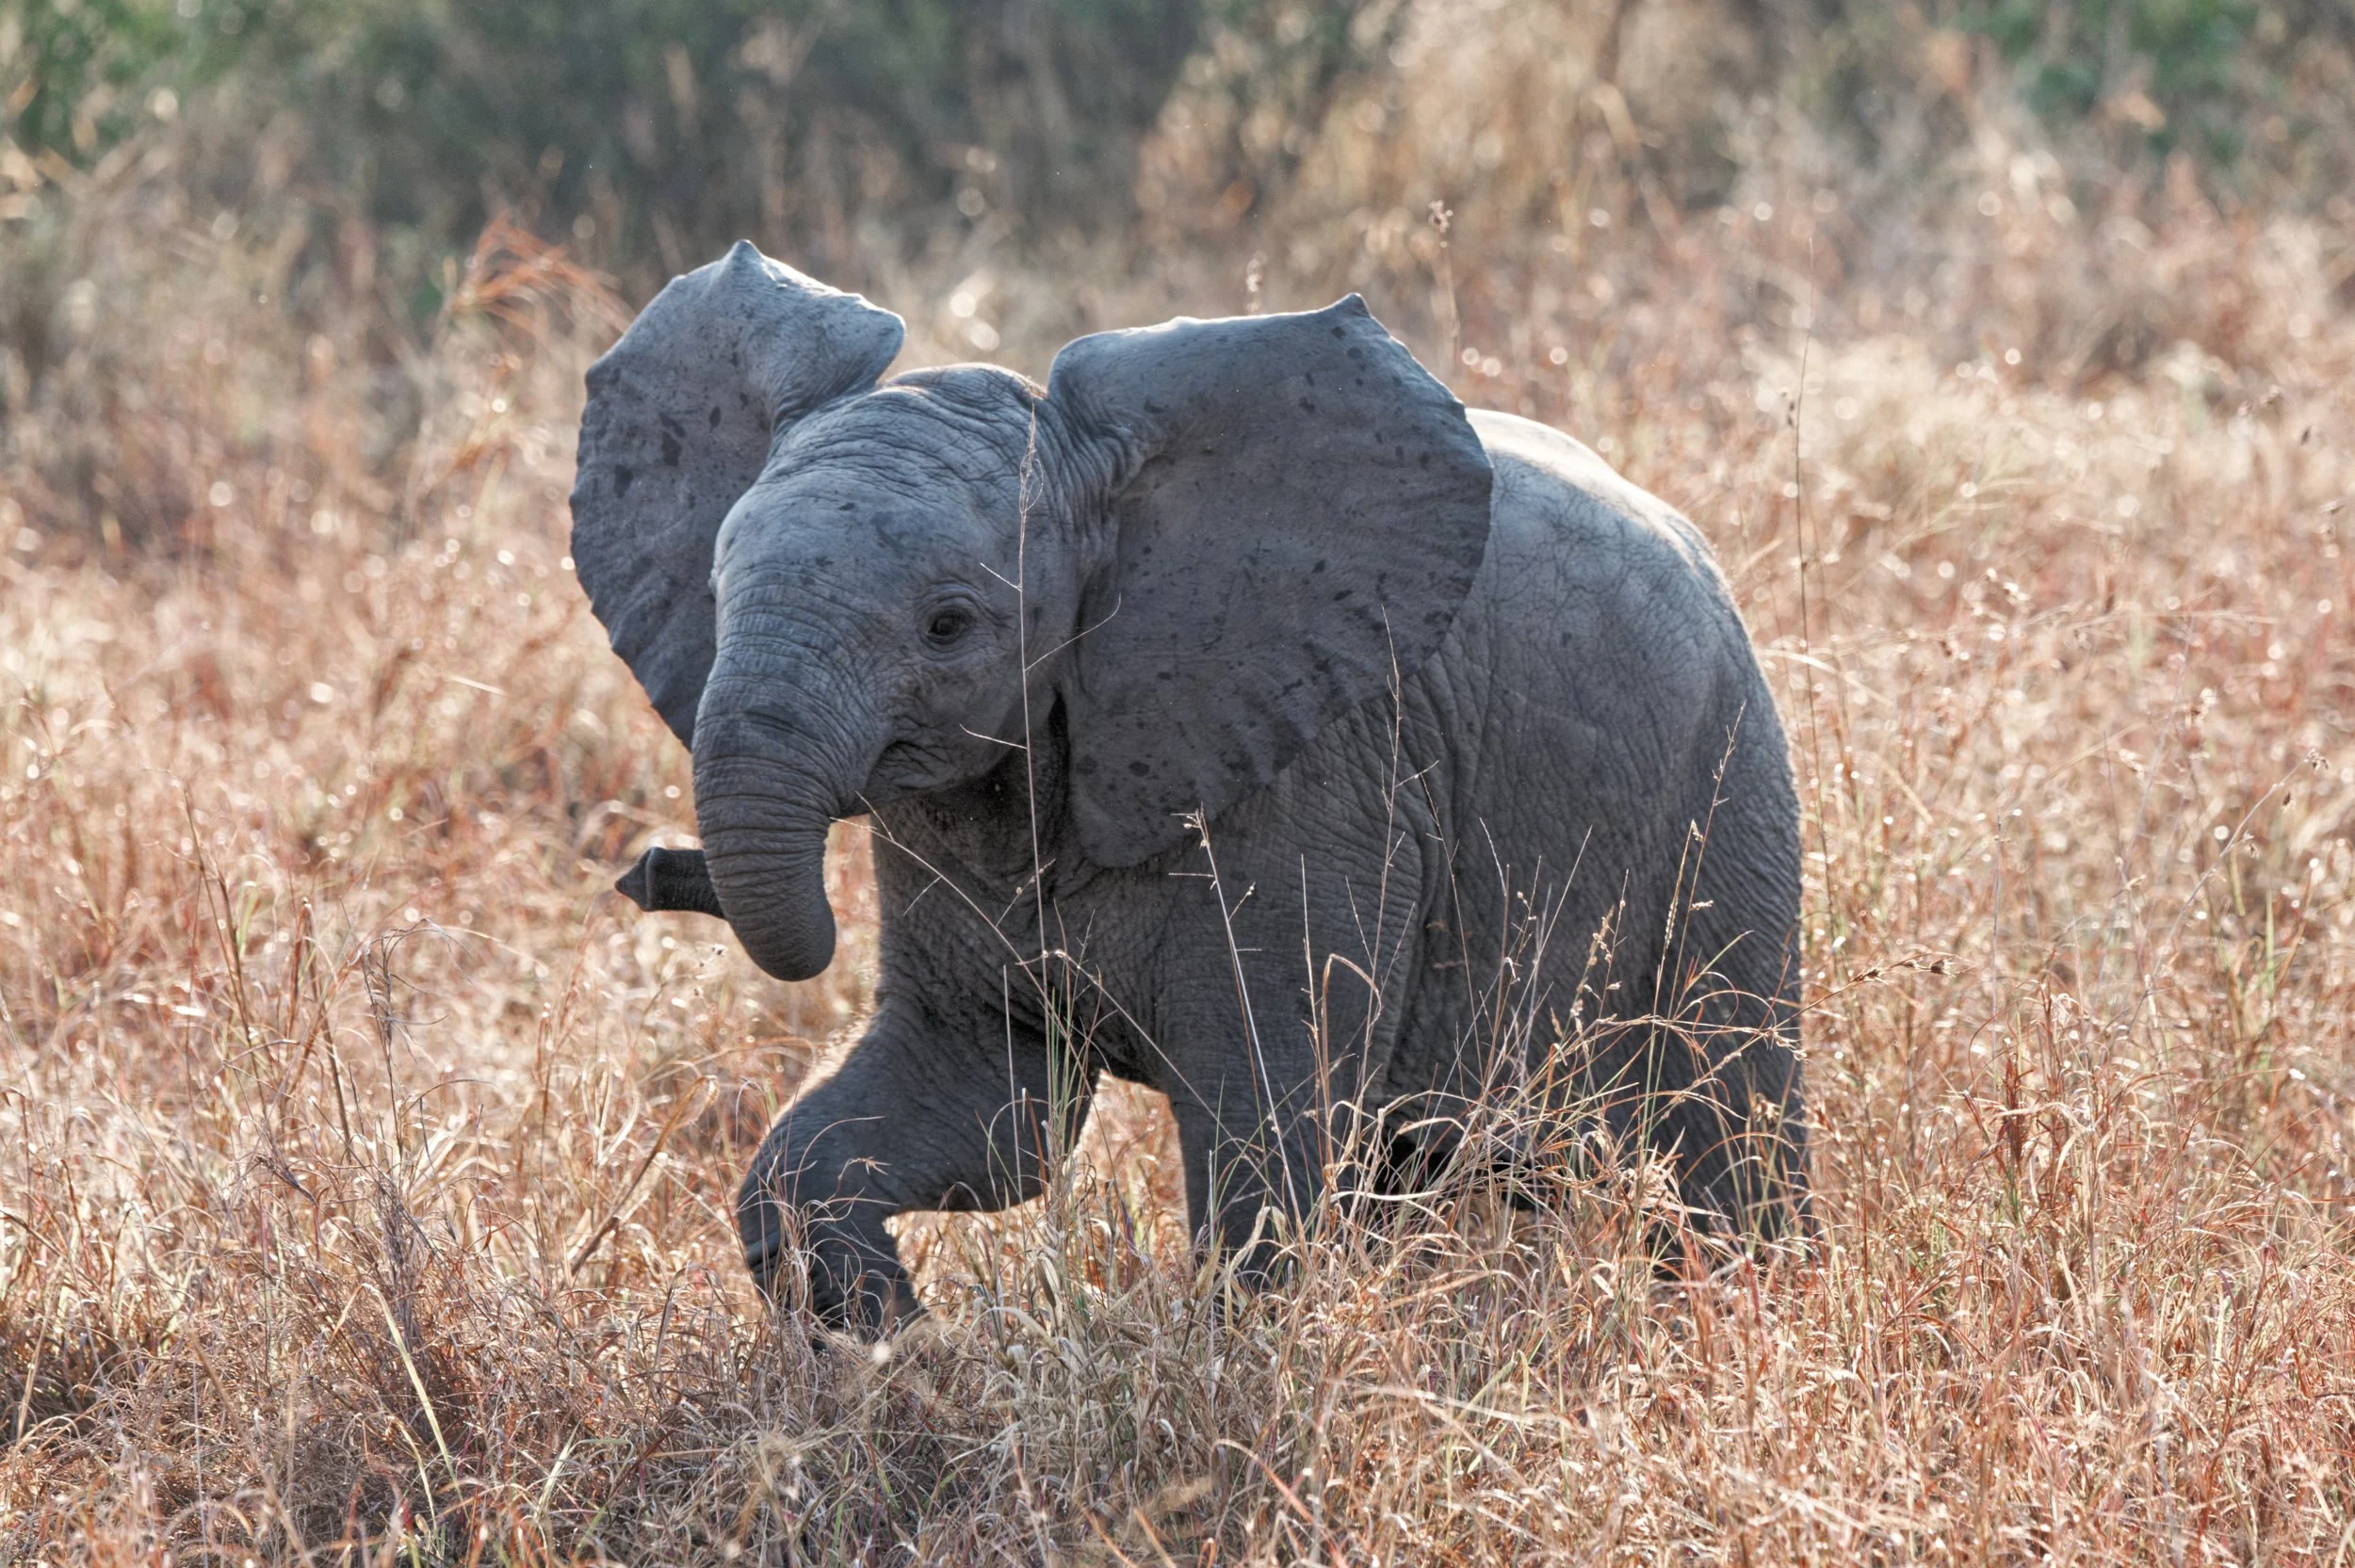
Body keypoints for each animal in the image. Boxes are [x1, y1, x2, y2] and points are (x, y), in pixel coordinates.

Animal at [571, 242, 1810, 1332]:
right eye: (716, 592)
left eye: (949, 624)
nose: (648, 870)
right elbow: (986, 1109)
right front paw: (893, 1346)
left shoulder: (1322, 780)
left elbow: (1263, 1127)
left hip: (1726, 789)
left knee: (1723, 1115)